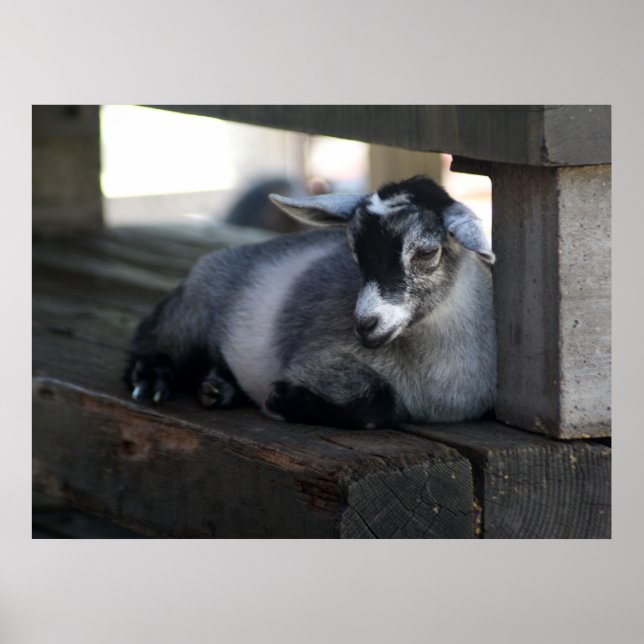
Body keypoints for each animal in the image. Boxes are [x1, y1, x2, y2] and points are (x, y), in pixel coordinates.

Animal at [125, 176, 496, 429]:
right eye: (353, 249)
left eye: (427, 252)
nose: (365, 324)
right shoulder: (320, 359)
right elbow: (375, 404)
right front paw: (281, 399)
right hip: (193, 307)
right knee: (151, 337)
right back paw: (153, 380)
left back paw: (218, 386)